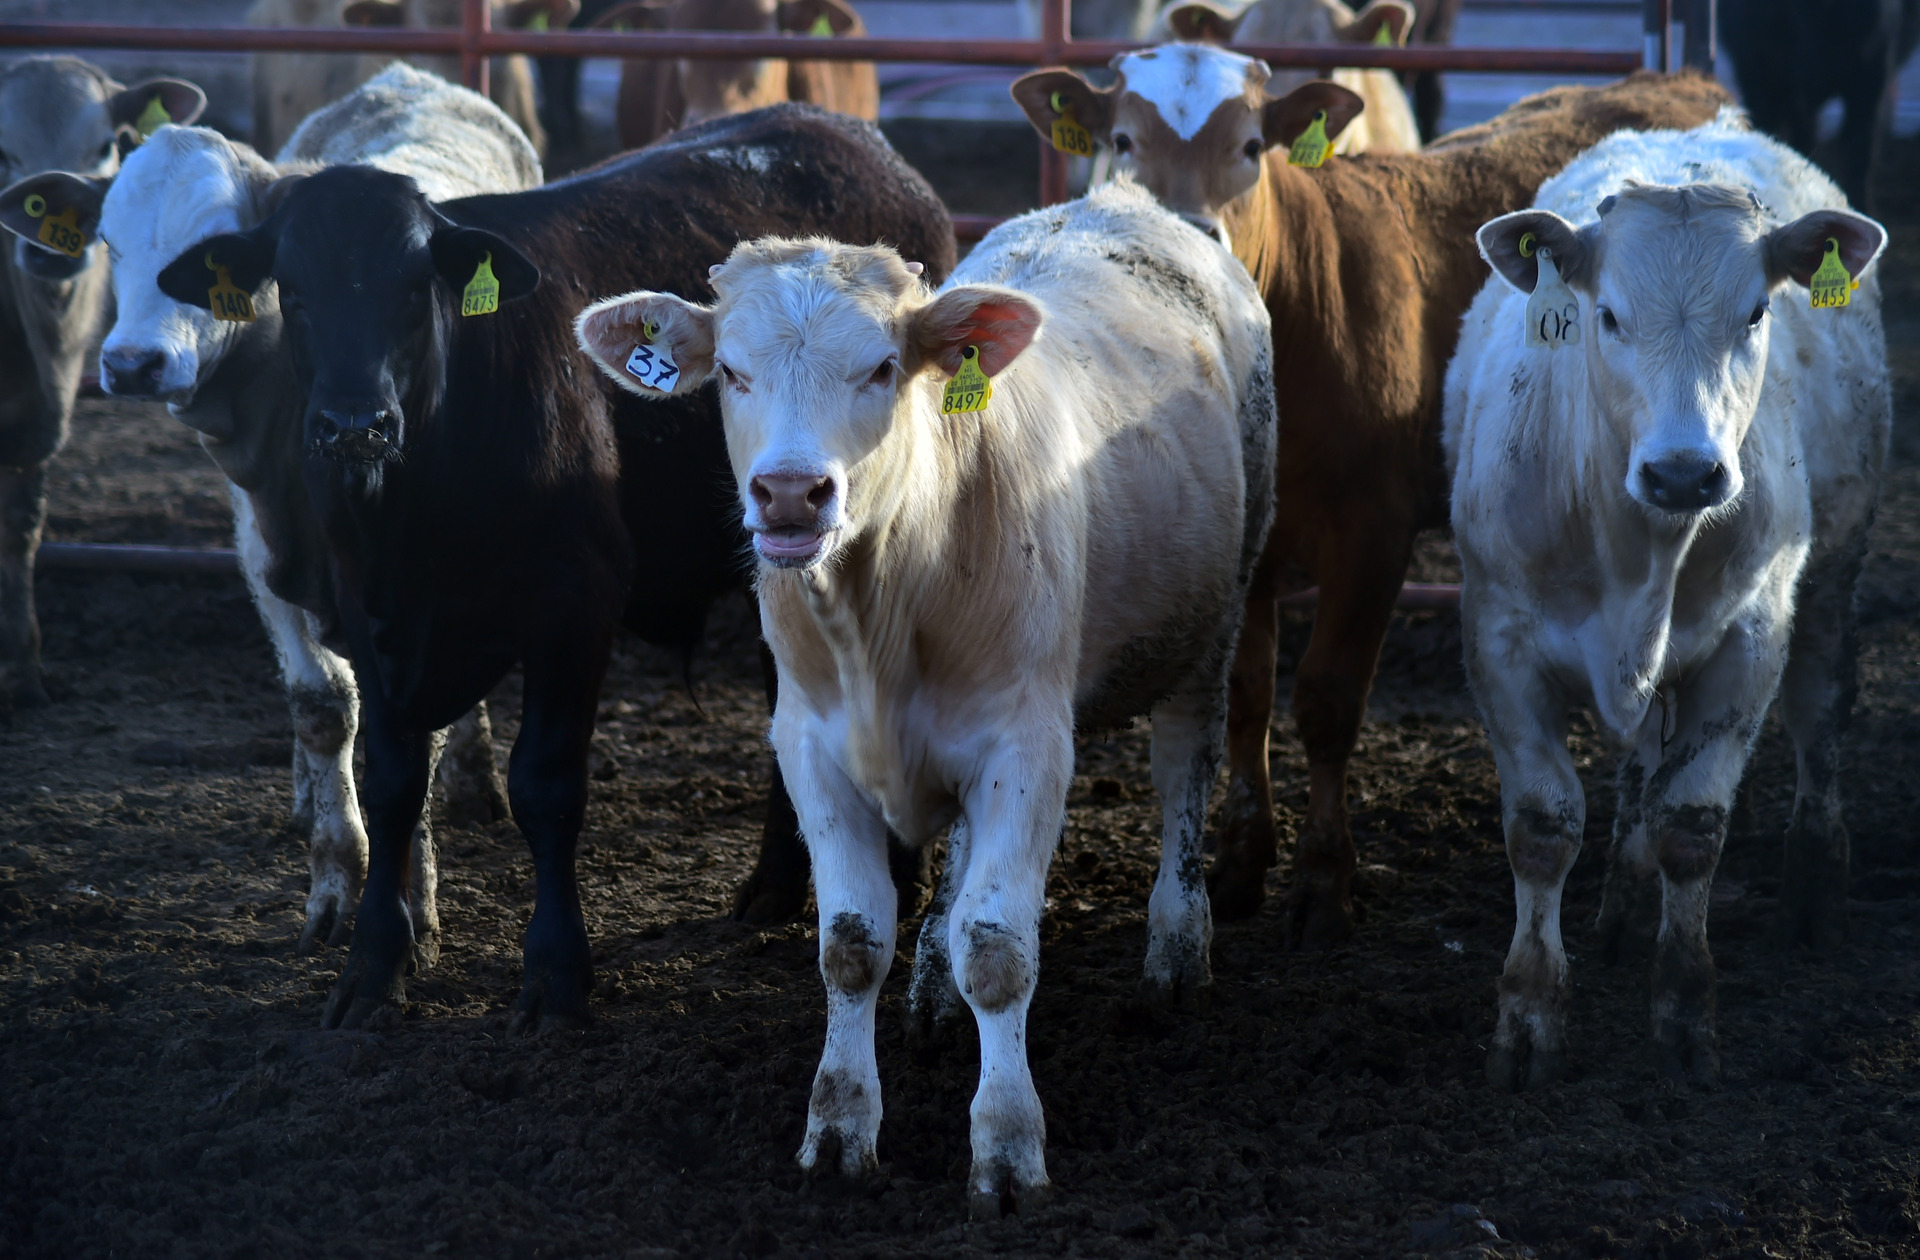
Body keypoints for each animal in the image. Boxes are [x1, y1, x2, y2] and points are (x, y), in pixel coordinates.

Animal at [155, 105, 952, 1037]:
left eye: (413, 288)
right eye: (294, 289)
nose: (355, 425)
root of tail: (854, 139)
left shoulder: (575, 604)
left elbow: (545, 785)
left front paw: (555, 974)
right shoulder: (369, 612)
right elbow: (392, 785)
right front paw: (374, 967)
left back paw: (902, 879)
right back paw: (775, 886)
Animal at [576, 176, 1282, 1213]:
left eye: (880, 367)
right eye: (733, 374)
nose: (791, 494)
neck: (885, 597)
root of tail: (1122, 200)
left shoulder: (1029, 746)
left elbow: (1000, 949)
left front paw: (1007, 1144)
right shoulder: (811, 747)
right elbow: (852, 942)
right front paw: (839, 1125)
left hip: (1217, 608)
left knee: (1184, 766)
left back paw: (1176, 949)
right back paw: (933, 994)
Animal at [1013, 51, 1735, 956]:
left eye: (1250, 145)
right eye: (1120, 140)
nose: (1192, 229)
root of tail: (1681, 75)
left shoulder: (1373, 536)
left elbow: (1326, 701)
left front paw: (1324, 885)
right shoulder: (1250, 545)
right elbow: (1250, 697)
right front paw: (1243, 860)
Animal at [1443, 113, 1881, 1090]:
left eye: (1756, 313)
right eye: (1607, 315)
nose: (1685, 473)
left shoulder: (1752, 639)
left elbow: (1694, 822)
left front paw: (1684, 1010)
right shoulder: (1498, 641)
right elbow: (1544, 827)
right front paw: (1529, 1014)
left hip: (1835, 569)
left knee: (1820, 711)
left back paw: (1816, 886)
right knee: (1644, 758)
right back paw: (1623, 898)